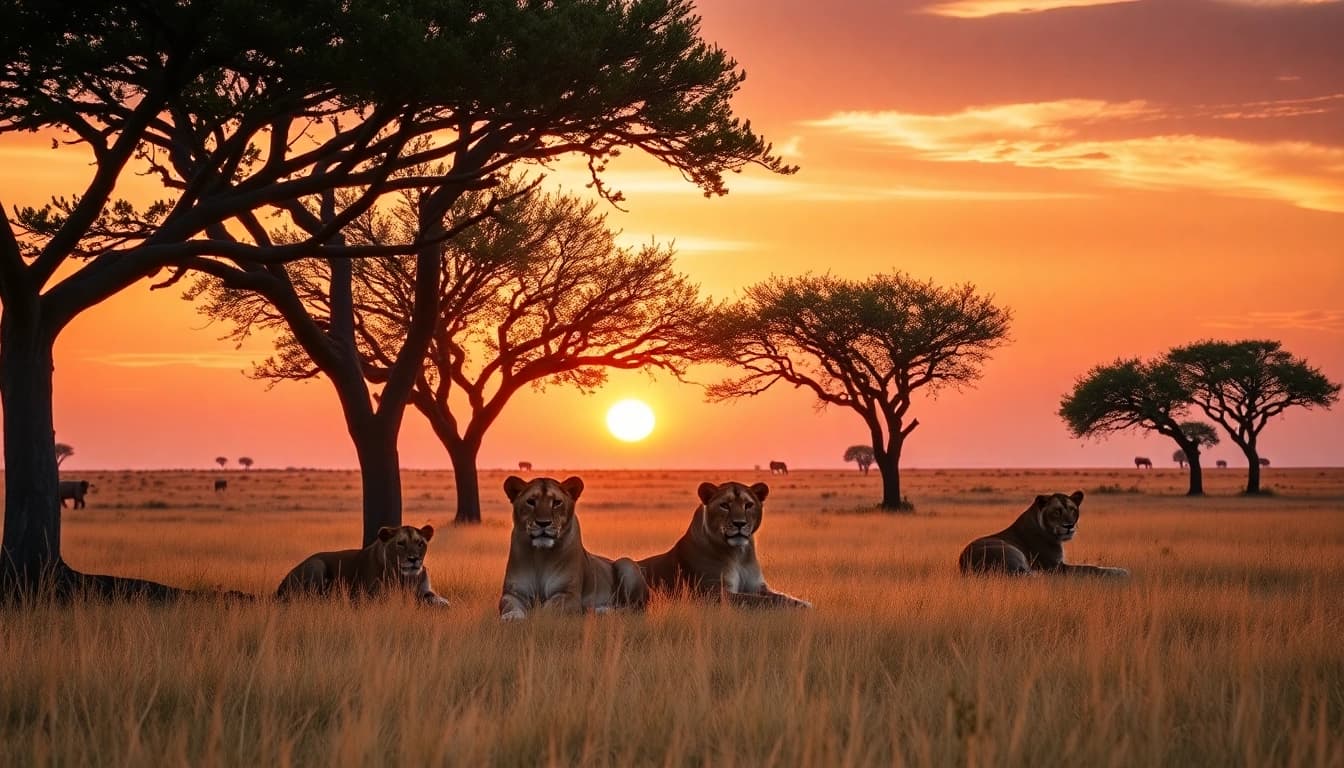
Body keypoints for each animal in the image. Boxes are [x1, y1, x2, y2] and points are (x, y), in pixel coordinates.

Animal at [276, 524, 451, 605]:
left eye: (420, 543)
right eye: (400, 543)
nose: (414, 559)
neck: (405, 578)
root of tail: (279, 587)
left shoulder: (425, 590)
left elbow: (440, 600)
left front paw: (442, 603)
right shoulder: (373, 596)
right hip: (317, 564)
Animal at [498, 475, 648, 621]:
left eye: (557, 502)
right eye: (530, 502)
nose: (543, 523)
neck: (540, 555)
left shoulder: (569, 594)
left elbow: (548, 608)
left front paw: (536, 615)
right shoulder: (513, 593)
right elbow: (510, 606)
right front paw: (512, 617)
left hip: (626, 564)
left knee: (633, 608)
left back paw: (601, 610)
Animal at [637, 481, 811, 609]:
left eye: (748, 505)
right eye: (725, 505)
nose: (739, 523)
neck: (739, 555)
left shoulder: (758, 586)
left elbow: (783, 596)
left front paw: (803, 604)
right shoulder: (713, 594)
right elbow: (754, 599)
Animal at [958, 491, 1129, 578]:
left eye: (1073, 509)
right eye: (1057, 511)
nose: (1069, 526)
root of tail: (967, 565)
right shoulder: (1055, 567)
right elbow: (1089, 568)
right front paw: (1121, 571)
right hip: (1010, 550)